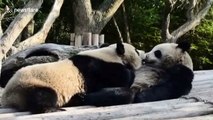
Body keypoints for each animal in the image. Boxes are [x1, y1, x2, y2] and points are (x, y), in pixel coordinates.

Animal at [0, 42, 145, 114]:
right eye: (137, 51)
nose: (143, 55)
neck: (110, 54)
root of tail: (7, 98)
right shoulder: (98, 68)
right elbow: (120, 79)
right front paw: (131, 71)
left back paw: (78, 98)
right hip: (28, 84)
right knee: (43, 95)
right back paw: (51, 109)